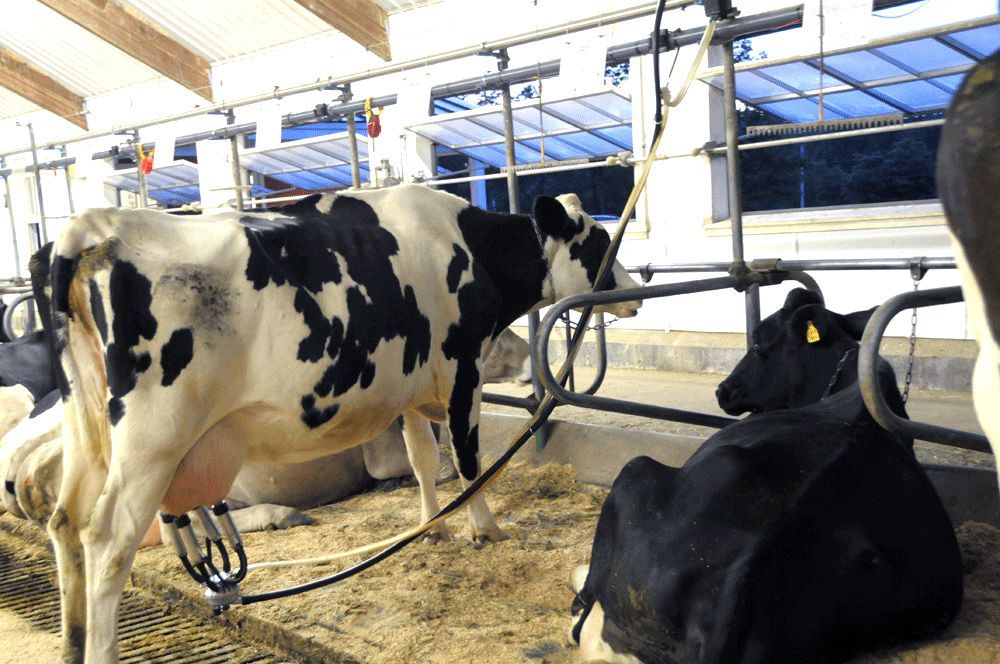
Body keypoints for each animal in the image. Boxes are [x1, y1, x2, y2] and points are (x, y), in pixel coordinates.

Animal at [42, 184, 641, 662]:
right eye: (597, 242)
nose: (633, 293)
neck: (466, 246)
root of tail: (92, 227)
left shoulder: (412, 388)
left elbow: (424, 460)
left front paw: (433, 526)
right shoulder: (463, 369)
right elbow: (469, 459)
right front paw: (484, 528)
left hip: (87, 430)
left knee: (65, 523)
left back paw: (71, 644)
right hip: (153, 439)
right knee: (107, 539)